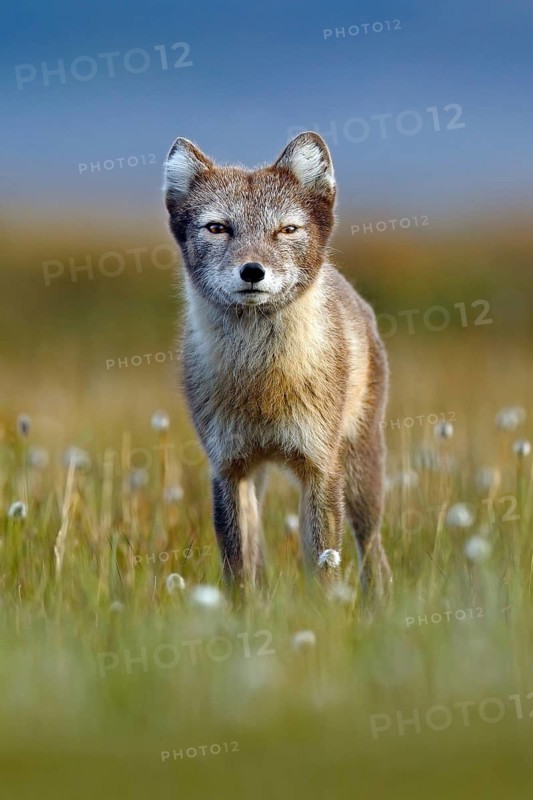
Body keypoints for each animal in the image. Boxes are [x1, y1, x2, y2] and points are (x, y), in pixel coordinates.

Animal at [163, 131, 392, 595]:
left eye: (286, 229)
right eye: (217, 228)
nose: (252, 271)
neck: (263, 387)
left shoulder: (320, 467)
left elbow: (324, 566)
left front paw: (324, 611)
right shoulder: (228, 468)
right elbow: (238, 567)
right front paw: (241, 611)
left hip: (361, 475)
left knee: (374, 555)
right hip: (259, 477)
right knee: (259, 555)